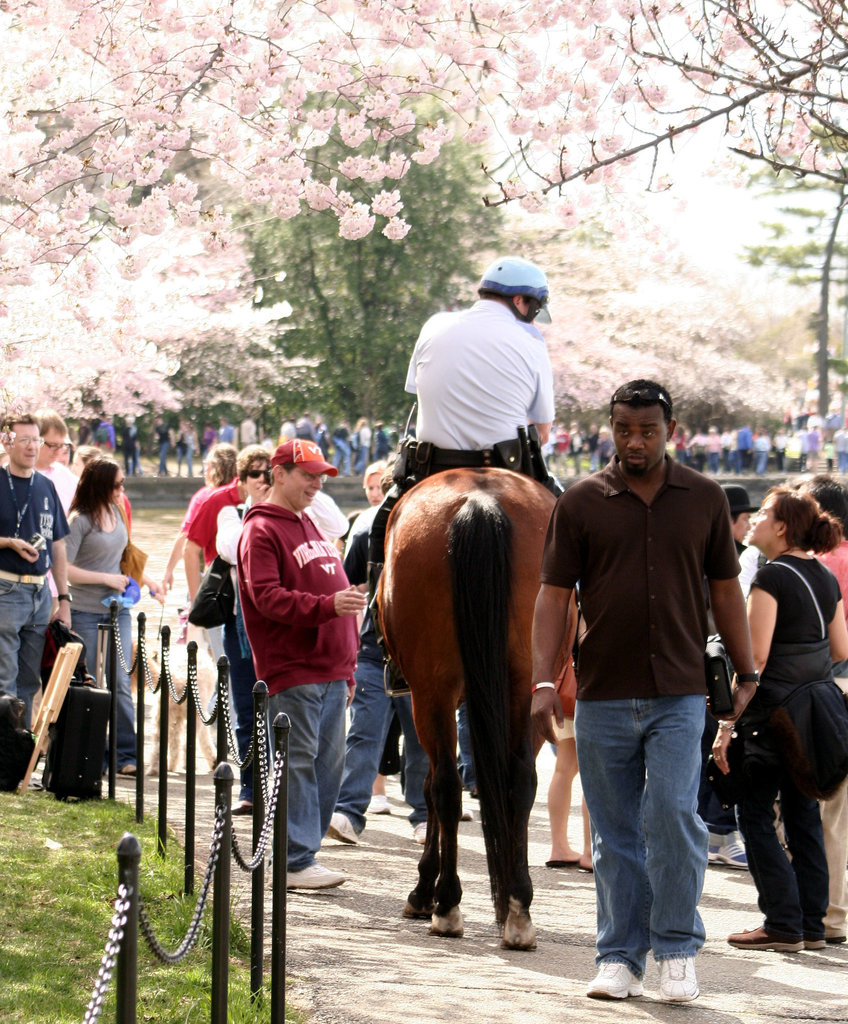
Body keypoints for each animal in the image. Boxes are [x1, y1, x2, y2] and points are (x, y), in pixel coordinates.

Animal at [376, 468, 557, 946]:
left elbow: (430, 787)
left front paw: (424, 891)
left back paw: (446, 904)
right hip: (526, 685)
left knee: (444, 786)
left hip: (432, 692)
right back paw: (517, 907)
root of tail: (480, 500)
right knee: (520, 780)